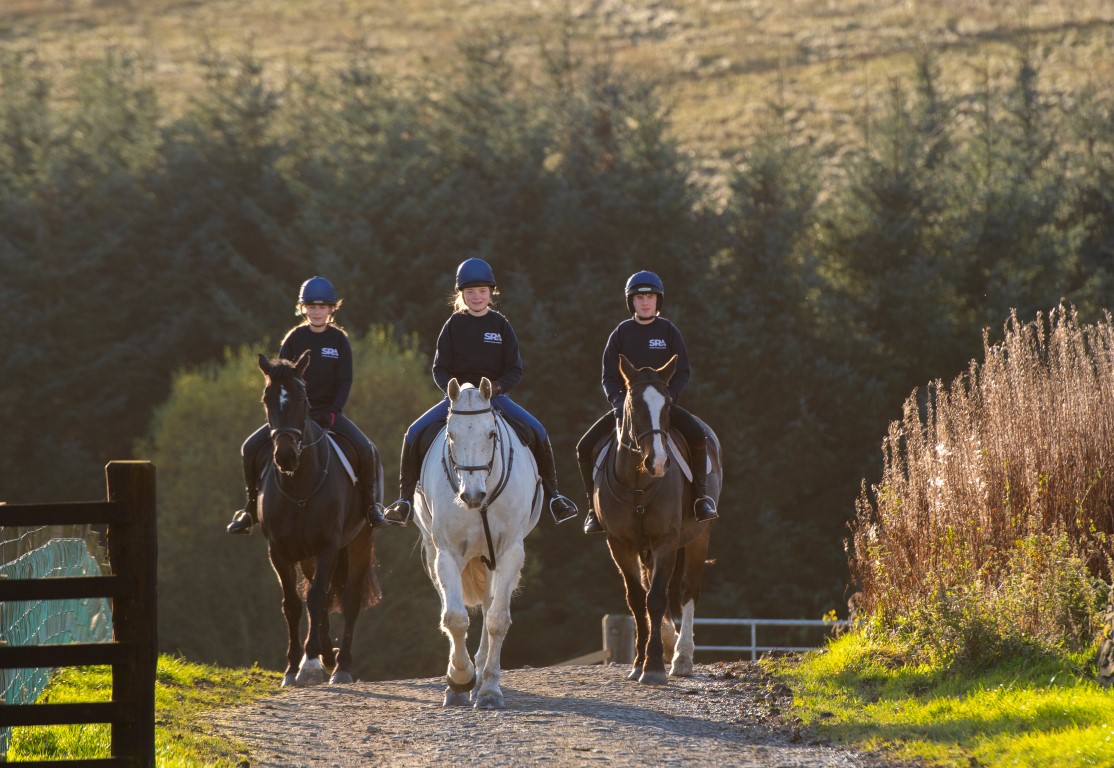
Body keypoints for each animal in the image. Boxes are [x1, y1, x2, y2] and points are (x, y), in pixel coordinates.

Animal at [255, 350, 380, 686]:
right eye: (267, 398)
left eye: (302, 399)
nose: (285, 455)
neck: (300, 486)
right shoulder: (278, 551)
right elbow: (293, 604)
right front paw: (292, 666)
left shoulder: (328, 546)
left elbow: (314, 599)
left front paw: (309, 663)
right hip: (308, 556)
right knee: (318, 594)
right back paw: (327, 654)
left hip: (358, 542)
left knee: (348, 600)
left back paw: (342, 665)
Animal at [416, 376, 541, 708]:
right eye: (451, 435)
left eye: (491, 433)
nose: (472, 496)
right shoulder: (446, 554)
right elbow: (455, 618)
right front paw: (459, 680)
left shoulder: (509, 553)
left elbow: (497, 620)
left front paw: (488, 691)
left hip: (492, 559)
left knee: (488, 605)